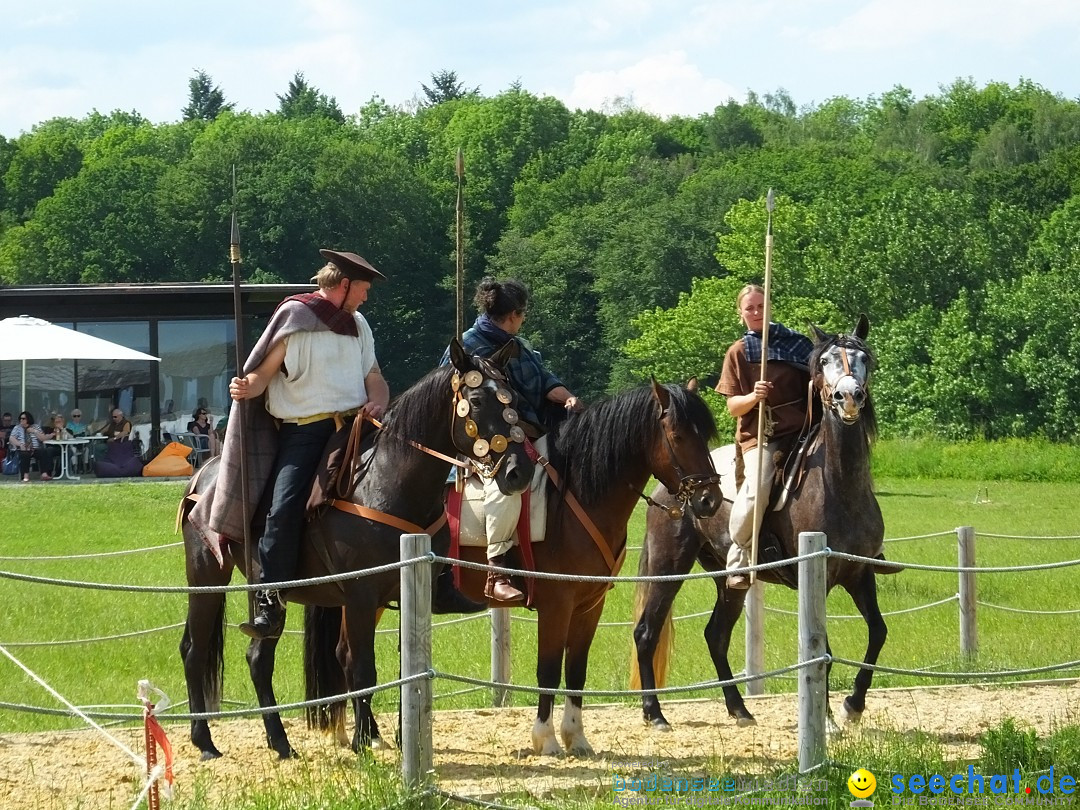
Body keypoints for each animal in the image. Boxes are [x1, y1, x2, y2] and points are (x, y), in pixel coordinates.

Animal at [178, 339, 535, 760]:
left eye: (513, 398)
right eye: (476, 400)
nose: (519, 471)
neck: (386, 483)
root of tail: (203, 473)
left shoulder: (406, 589)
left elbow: (405, 664)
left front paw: (402, 737)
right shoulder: (361, 595)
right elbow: (362, 665)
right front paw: (364, 739)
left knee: (258, 658)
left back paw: (279, 741)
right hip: (207, 577)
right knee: (195, 650)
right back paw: (205, 741)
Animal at [630, 319, 885, 734]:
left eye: (863, 358)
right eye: (826, 360)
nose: (849, 396)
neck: (839, 485)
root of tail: (669, 488)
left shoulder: (859, 572)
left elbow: (877, 633)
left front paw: (853, 705)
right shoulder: (814, 576)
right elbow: (822, 649)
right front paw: (827, 718)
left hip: (727, 579)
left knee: (715, 636)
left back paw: (739, 709)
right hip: (668, 567)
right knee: (646, 632)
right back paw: (655, 714)